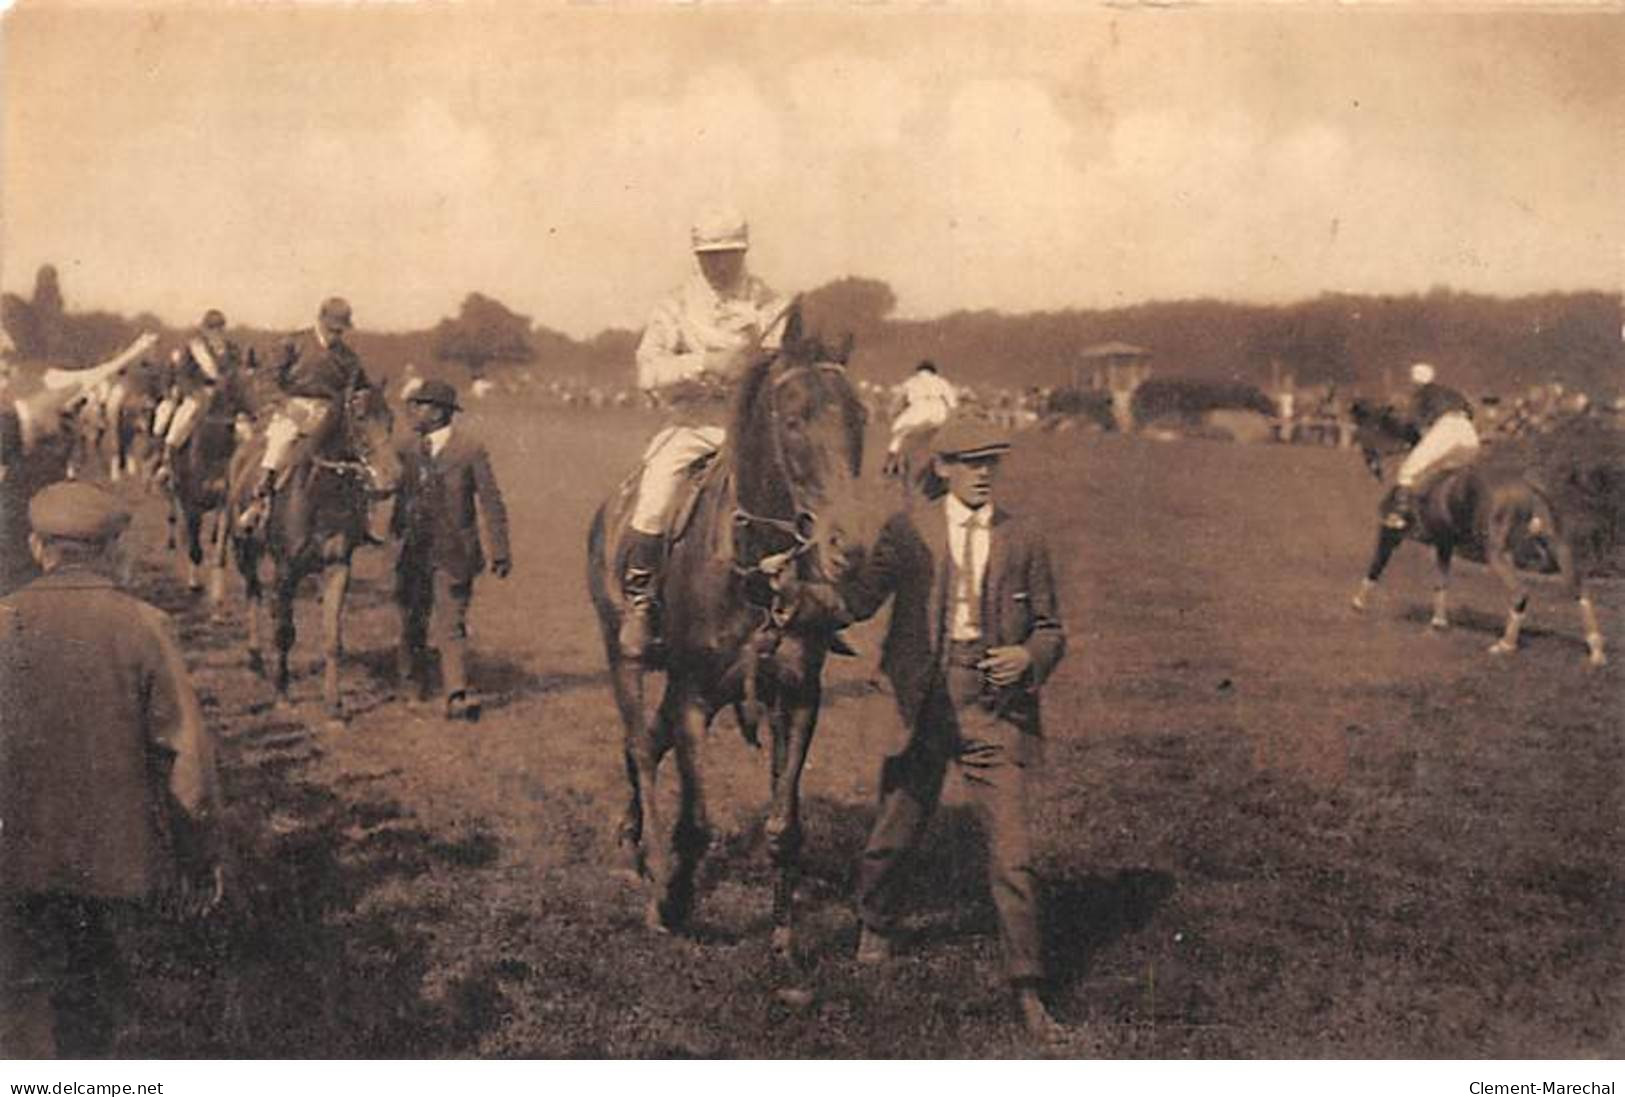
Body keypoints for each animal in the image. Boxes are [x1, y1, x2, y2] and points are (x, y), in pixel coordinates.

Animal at [225, 381, 403, 715]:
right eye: (360, 417)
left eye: (391, 419)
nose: (392, 476)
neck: (319, 495)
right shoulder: (285, 570)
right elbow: (284, 632)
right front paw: (282, 693)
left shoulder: (337, 567)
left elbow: (331, 636)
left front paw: (334, 704)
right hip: (245, 550)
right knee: (253, 593)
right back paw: (255, 657)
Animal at [585, 302, 864, 955]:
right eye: (793, 420)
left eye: (860, 417)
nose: (846, 545)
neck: (753, 565)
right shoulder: (693, 696)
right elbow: (696, 821)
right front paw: (671, 900)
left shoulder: (797, 696)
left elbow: (785, 824)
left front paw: (784, 937)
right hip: (623, 657)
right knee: (640, 746)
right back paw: (647, 858)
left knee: (645, 742)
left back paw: (634, 836)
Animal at [1345, 399, 1599, 666]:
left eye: (1370, 430)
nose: (1370, 461)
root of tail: (1528, 487)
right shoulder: (1444, 543)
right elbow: (1441, 581)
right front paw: (1438, 623)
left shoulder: (1390, 534)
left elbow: (1375, 567)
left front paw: (1357, 604)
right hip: (1556, 546)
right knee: (1579, 591)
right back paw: (1596, 650)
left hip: (1496, 553)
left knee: (1520, 593)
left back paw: (1506, 644)